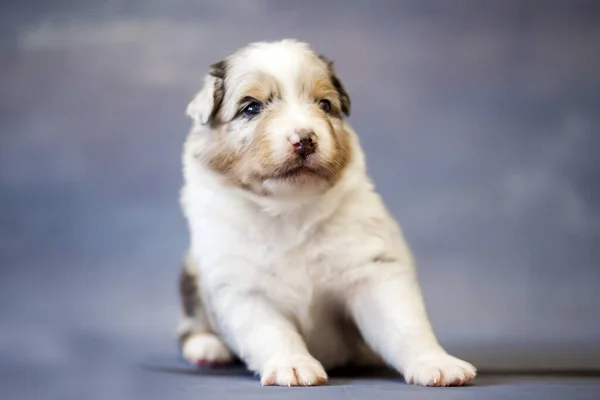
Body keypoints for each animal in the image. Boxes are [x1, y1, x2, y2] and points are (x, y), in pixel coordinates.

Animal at [176, 39, 476, 386]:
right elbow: (272, 331)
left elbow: (404, 323)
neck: (289, 209)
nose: (305, 140)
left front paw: (437, 364)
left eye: (325, 105)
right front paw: (292, 366)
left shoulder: (372, 270)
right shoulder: (239, 286)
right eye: (251, 108)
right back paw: (206, 348)